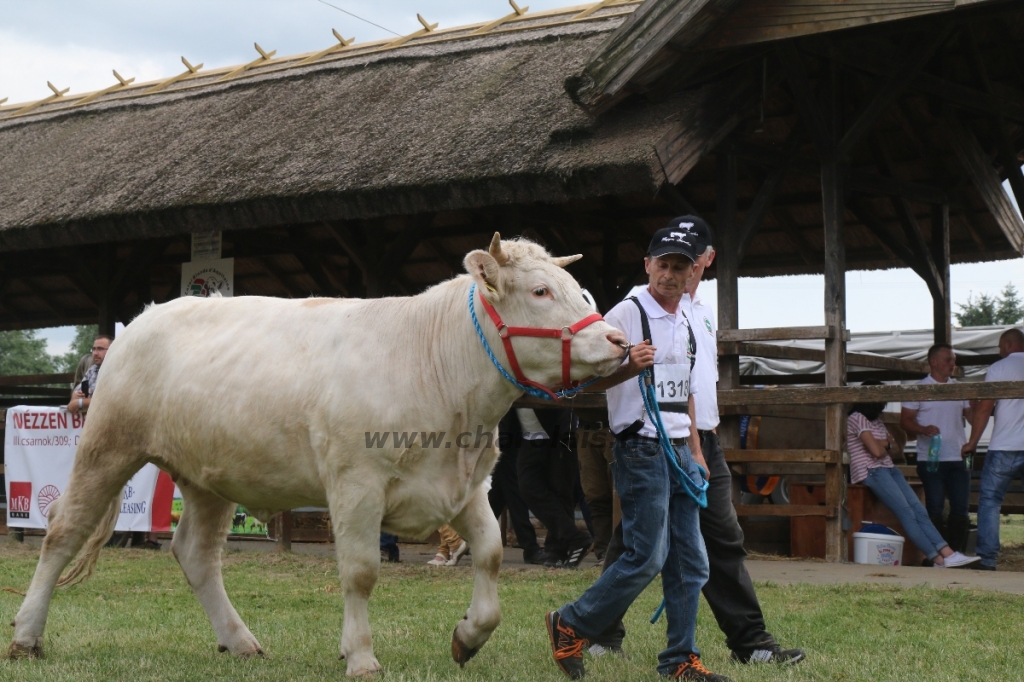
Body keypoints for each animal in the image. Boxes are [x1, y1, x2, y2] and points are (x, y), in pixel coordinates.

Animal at [9, 233, 622, 675]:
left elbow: (492, 554)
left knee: (196, 553)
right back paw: (26, 636)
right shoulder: (355, 484)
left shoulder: (466, 484)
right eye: (541, 292)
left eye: (579, 289)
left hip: (209, 477)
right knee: (63, 529)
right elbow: (361, 570)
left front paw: (468, 636)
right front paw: (362, 656)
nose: (617, 340)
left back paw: (240, 641)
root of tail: (147, 315)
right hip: (108, 444)